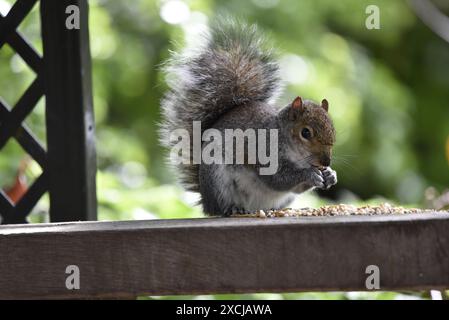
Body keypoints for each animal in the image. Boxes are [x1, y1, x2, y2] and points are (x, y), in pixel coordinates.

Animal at [159, 19, 334, 215]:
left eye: (333, 131)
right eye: (305, 133)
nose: (326, 162)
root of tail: (206, 201)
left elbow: (295, 187)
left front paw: (330, 175)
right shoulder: (264, 150)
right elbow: (277, 179)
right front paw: (309, 174)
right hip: (217, 179)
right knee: (221, 207)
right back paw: (232, 209)